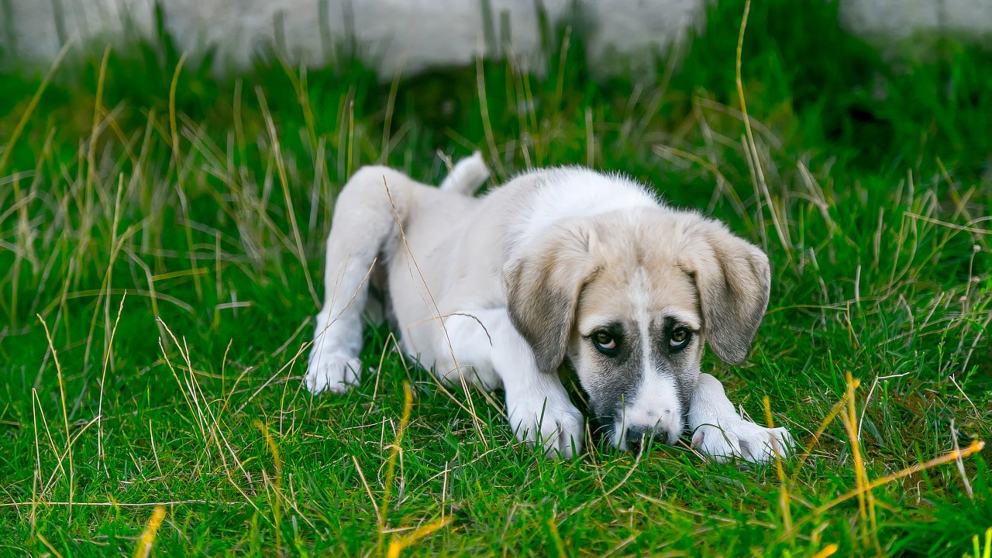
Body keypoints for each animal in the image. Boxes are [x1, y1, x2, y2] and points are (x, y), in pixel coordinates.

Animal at [306, 155, 796, 462]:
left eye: (679, 335)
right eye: (604, 339)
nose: (649, 439)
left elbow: (705, 378)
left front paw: (736, 429)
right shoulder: (447, 328)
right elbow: (511, 333)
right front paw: (546, 409)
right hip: (370, 193)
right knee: (335, 308)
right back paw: (332, 364)